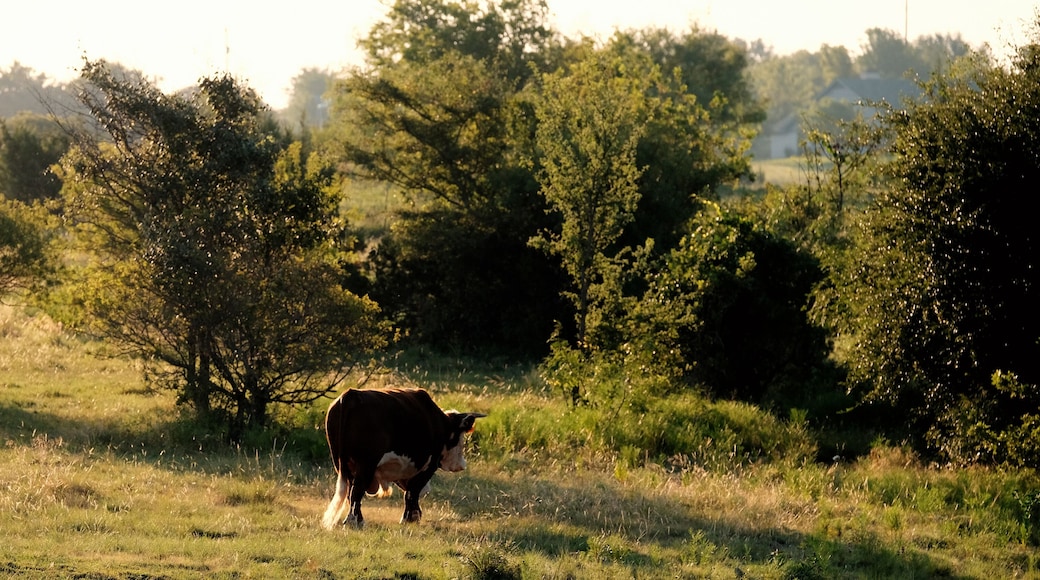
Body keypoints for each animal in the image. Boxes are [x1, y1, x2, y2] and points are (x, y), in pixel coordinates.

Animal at [321, 387, 485, 528]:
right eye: (460, 437)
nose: (462, 465)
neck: (440, 424)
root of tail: (351, 394)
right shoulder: (428, 465)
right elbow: (412, 492)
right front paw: (410, 518)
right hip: (366, 463)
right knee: (356, 491)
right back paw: (354, 521)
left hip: (343, 464)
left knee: (351, 492)